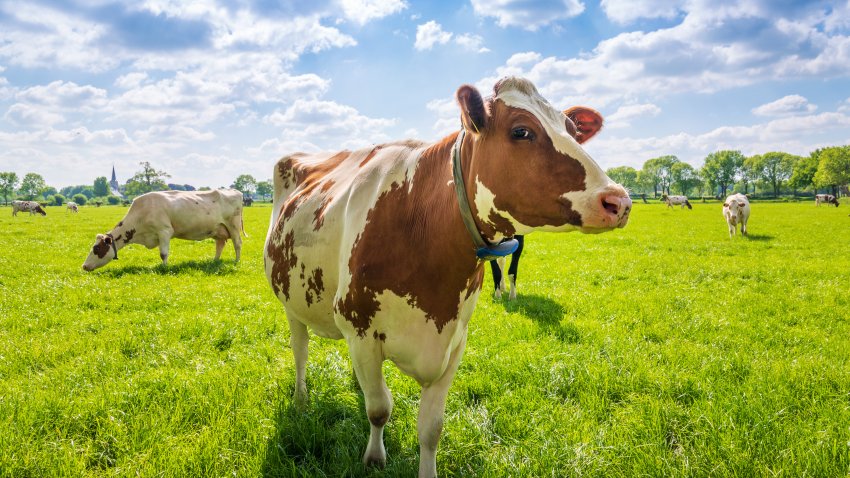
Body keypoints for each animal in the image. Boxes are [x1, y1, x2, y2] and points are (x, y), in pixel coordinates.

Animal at [81, 189, 245, 270]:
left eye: (97, 249)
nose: (84, 266)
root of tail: (235, 191)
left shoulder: (164, 231)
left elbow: (163, 253)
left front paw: (164, 268)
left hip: (234, 226)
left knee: (237, 243)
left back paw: (236, 261)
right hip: (217, 230)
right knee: (220, 245)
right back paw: (214, 261)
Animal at [264, 76, 628, 476]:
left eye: (574, 131)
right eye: (521, 131)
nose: (619, 201)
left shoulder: (454, 340)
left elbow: (431, 429)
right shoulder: (360, 331)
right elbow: (379, 410)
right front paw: (374, 457)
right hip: (291, 304)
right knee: (300, 350)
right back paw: (301, 398)